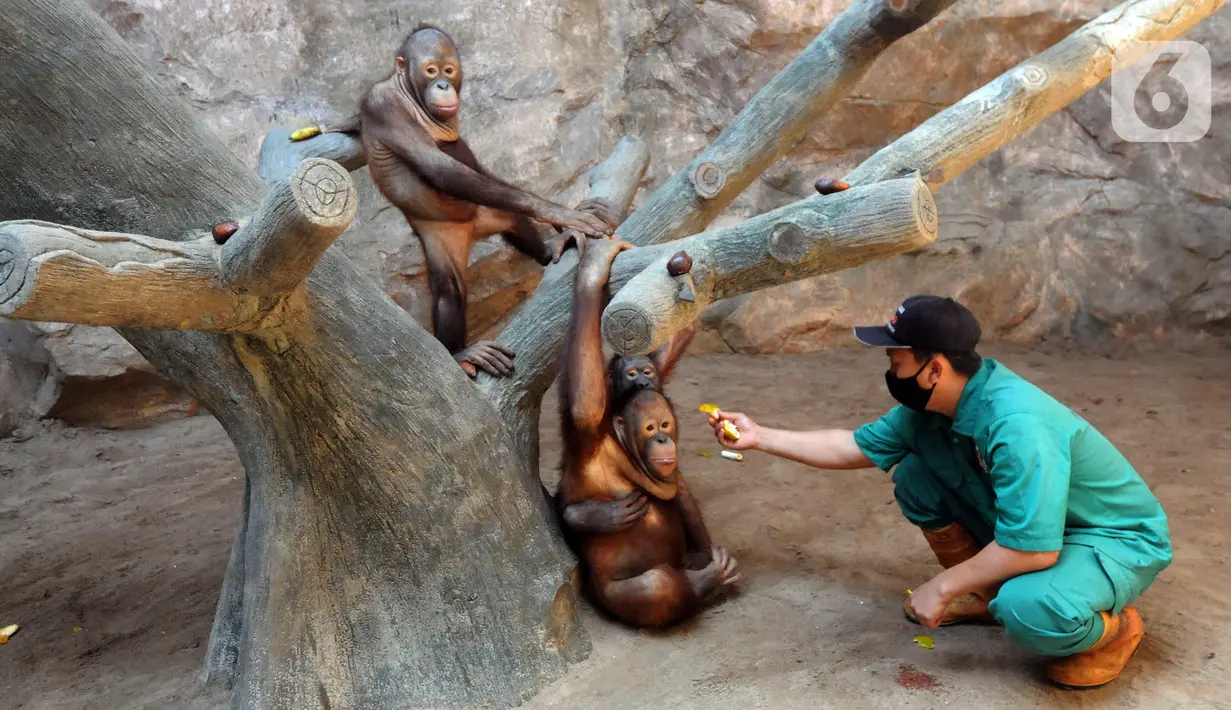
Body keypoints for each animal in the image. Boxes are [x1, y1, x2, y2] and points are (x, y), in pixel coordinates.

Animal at [304, 25, 620, 378]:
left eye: (449, 70)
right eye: (430, 71)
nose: (442, 84)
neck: (408, 93)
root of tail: (472, 230)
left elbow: (468, 164)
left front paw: (559, 220)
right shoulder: (383, 106)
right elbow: (439, 168)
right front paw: (557, 212)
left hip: (489, 211)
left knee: (511, 216)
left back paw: (549, 249)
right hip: (442, 236)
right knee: (449, 289)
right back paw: (460, 352)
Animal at [554, 238, 739, 629]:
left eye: (665, 426)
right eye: (651, 428)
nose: (662, 440)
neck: (624, 448)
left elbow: (676, 335)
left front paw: (685, 268)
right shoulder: (589, 437)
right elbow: (585, 402)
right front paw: (593, 270)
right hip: (613, 597)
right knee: (659, 587)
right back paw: (707, 581)